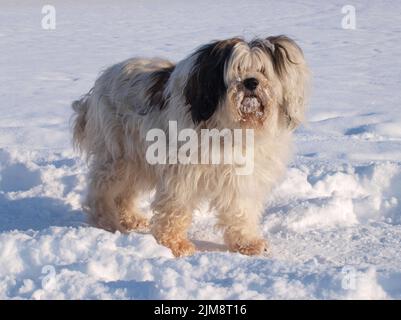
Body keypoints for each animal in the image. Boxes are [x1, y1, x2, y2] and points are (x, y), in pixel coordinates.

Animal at [72, 35, 310, 258]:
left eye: (262, 70)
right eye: (237, 69)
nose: (251, 82)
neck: (231, 127)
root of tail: (102, 80)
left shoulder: (241, 178)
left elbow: (240, 210)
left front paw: (247, 243)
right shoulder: (181, 174)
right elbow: (176, 208)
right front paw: (175, 245)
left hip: (138, 159)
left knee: (125, 193)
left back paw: (131, 218)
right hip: (119, 155)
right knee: (101, 189)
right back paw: (105, 222)